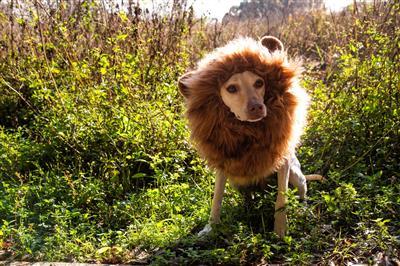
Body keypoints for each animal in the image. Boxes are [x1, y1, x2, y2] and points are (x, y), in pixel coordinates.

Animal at [178, 35, 322, 237]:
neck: (250, 131)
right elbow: (216, 199)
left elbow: (281, 198)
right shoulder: (224, 164)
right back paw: (247, 209)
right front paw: (210, 228)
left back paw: (303, 209)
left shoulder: (282, 161)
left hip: (296, 175)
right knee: (249, 196)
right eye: (231, 88)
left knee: (302, 193)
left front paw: (280, 230)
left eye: (259, 83)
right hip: (238, 181)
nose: (256, 107)